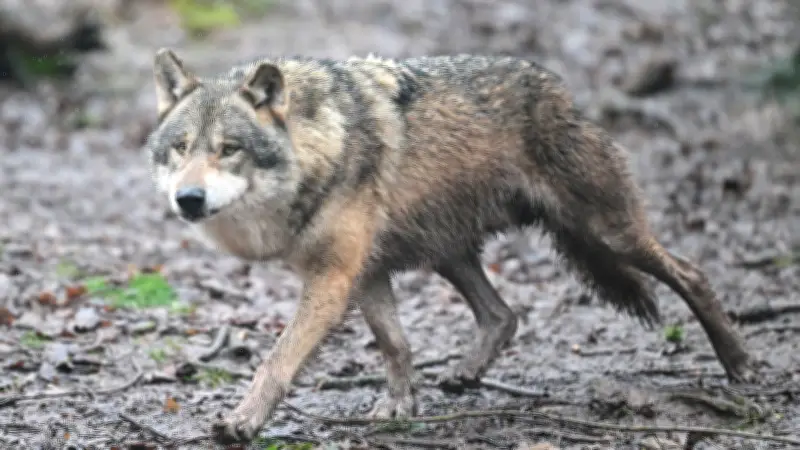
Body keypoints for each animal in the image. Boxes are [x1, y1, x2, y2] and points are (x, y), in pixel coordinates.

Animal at [145, 48, 758, 444]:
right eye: (180, 147)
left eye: (229, 148)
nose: (189, 199)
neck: (319, 147)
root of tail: (560, 90)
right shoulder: (366, 272)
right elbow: (395, 344)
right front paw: (400, 406)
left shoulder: (334, 277)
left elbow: (277, 360)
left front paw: (242, 422)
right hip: (447, 252)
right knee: (504, 315)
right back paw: (465, 374)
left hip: (607, 232)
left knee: (692, 272)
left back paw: (739, 366)